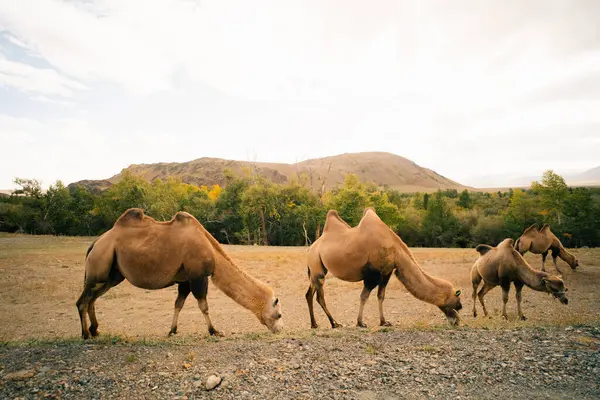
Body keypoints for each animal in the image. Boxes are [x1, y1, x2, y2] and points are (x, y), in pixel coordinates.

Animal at [77, 208, 284, 340]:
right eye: (278, 314)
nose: (280, 330)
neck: (212, 253)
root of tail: (94, 244)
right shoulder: (198, 276)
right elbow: (204, 306)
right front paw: (214, 331)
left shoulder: (184, 280)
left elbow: (178, 304)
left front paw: (172, 331)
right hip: (98, 267)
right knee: (83, 300)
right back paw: (86, 334)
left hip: (113, 274)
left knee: (93, 298)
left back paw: (95, 331)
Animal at [304, 206, 464, 328]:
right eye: (456, 302)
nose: (457, 321)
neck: (395, 250)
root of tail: (311, 248)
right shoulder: (372, 275)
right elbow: (364, 297)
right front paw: (360, 323)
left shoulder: (386, 272)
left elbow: (381, 296)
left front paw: (384, 322)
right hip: (317, 265)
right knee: (320, 297)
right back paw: (334, 323)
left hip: (315, 268)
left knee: (309, 294)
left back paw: (314, 324)